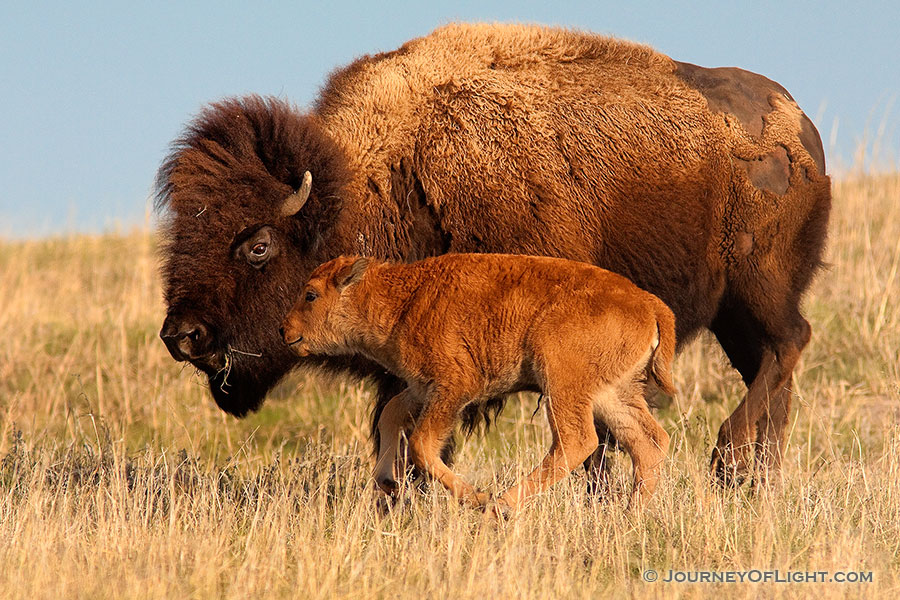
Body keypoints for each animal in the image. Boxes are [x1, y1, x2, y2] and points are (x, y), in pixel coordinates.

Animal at [282, 253, 676, 510]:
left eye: (311, 294)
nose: (286, 331)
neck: (404, 299)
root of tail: (650, 304)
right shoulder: (421, 388)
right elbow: (390, 414)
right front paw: (388, 482)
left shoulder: (452, 388)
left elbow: (422, 444)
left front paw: (477, 498)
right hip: (613, 393)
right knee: (648, 442)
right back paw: (631, 514)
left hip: (563, 384)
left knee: (577, 441)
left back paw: (502, 504)